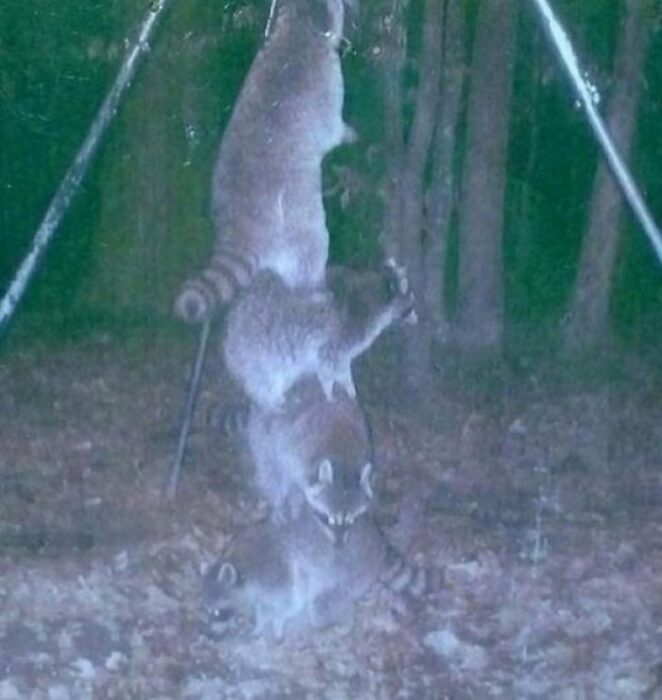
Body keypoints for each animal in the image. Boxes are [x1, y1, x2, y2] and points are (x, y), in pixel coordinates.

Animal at [174, 0, 356, 322]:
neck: (299, 28)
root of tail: (238, 226)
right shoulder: (328, 86)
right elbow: (332, 131)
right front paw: (348, 133)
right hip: (299, 228)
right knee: (311, 254)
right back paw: (315, 289)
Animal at [204, 504, 430, 640]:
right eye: (207, 611)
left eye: (217, 612)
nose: (210, 637)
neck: (242, 566)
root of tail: (377, 541)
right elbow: (262, 606)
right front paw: (260, 624)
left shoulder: (278, 573)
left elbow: (292, 601)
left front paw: (276, 621)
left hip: (350, 572)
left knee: (326, 604)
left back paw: (344, 620)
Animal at [226, 260, 418, 412]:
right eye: (410, 307)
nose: (417, 319)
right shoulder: (335, 342)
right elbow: (328, 369)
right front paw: (333, 391)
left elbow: (341, 367)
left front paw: (349, 388)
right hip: (255, 348)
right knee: (263, 377)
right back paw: (269, 400)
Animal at [246, 386, 376, 544]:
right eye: (328, 519)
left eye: (352, 520)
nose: (339, 546)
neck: (344, 463)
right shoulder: (291, 454)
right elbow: (284, 479)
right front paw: (281, 502)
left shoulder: (366, 445)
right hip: (262, 432)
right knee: (267, 468)